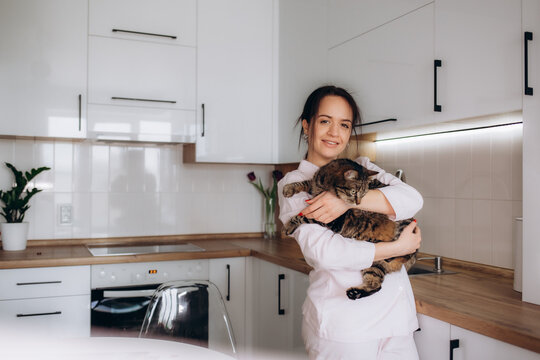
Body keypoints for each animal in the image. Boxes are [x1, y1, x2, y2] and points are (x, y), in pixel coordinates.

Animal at [284, 159, 416, 300]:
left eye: (364, 194)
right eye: (354, 192)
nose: (358, 203)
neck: (325, 185)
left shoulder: (333, 220)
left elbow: (304, 216)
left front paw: (290, 224)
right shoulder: (315, 183)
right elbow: (305, 182)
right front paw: (289, 187)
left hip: (404, 225)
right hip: (374, 263)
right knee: (376, 284)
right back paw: (355, 292)